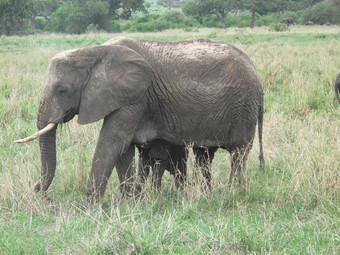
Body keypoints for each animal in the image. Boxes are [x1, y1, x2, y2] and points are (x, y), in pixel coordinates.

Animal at [15, 36, 266, 203]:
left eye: (62, 90)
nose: (40, 192)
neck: (94, 51)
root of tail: (255, 70)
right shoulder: (124, 97)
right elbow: (123, 150)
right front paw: (129, 202)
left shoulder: (135, 97)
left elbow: (112, 143)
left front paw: (91, 205)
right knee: (205, 154)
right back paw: (205, 196)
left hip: (243, 107)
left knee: (239, 154)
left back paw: (234, 194)